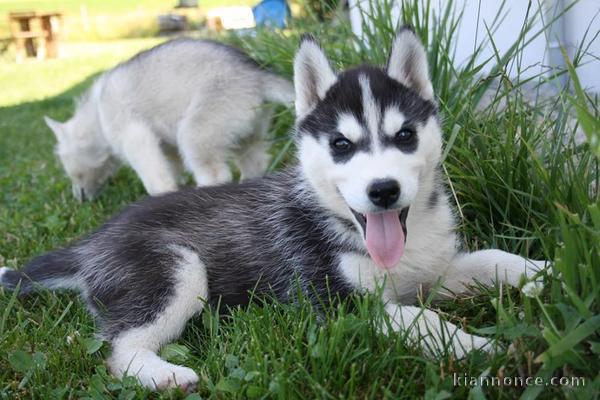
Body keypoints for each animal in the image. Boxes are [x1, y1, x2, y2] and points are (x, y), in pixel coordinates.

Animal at [44, 39, 292, 202]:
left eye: (70, 171)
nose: (78, 198)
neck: (97, 115)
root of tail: (257, 73)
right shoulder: (165, 145)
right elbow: (171, 168)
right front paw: (175, 188)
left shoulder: (134, 137)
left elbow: (156, 179)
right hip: (249, 133)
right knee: (255, 162)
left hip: (196, 132)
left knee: (215, 174)